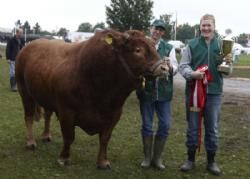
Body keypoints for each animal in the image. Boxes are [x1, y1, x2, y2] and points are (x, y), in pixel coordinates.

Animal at [16, 29, 168, 168]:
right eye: (138, 50)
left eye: (154, 46)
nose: (165, 68)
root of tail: (29, 45)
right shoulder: (67, 111)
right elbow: (69, 136)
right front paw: (63, 158)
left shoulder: (115, 114)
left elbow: (105, 138)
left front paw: (103, 162)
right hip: (24, 91)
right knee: (28, 116)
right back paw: (30, 142)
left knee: (47, 114)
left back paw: (46, 135)